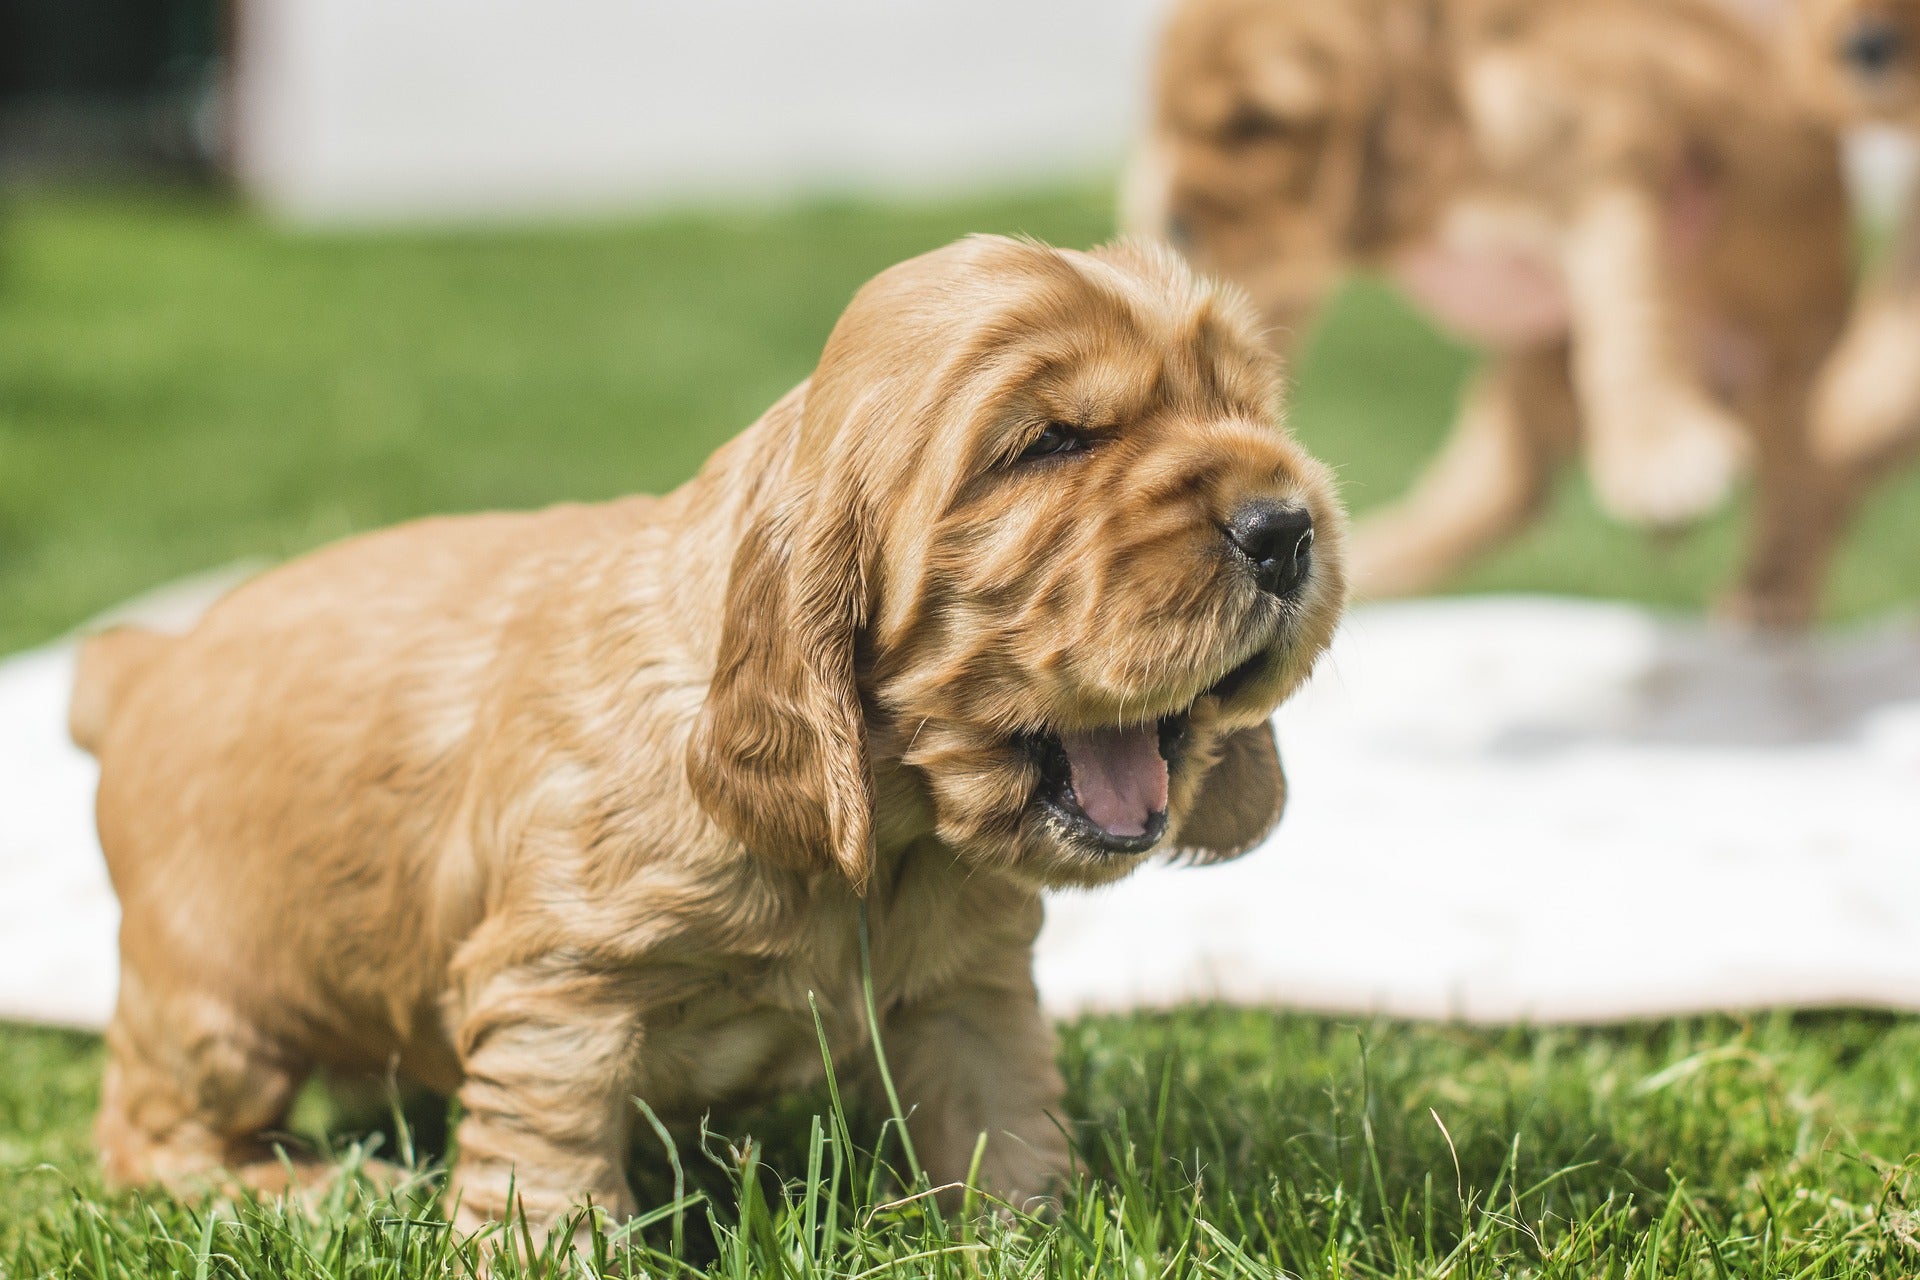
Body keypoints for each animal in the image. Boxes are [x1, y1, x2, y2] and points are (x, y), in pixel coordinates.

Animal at [67, 237, 1344, 1243]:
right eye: (1051, 442)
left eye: (1244, 410)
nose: (1287, 529)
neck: (879, 830)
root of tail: (141, 663)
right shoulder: (555, 994)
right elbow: (548, 1162)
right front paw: (548, 1249)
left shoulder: (971, 988)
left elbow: (1003, 1122)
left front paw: (1027, 1233)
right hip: (211, 1009)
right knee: (143, 1141)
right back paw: (318, 1187)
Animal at [1128, 0, 1850, 625]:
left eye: (1251, 126)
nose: (1171, 221)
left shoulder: (1607, 170)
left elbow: (1631, 316)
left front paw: (1659, 452)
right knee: (1500, 492)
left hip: (1789, 372)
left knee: (1800, 488)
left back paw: (1767, 600)